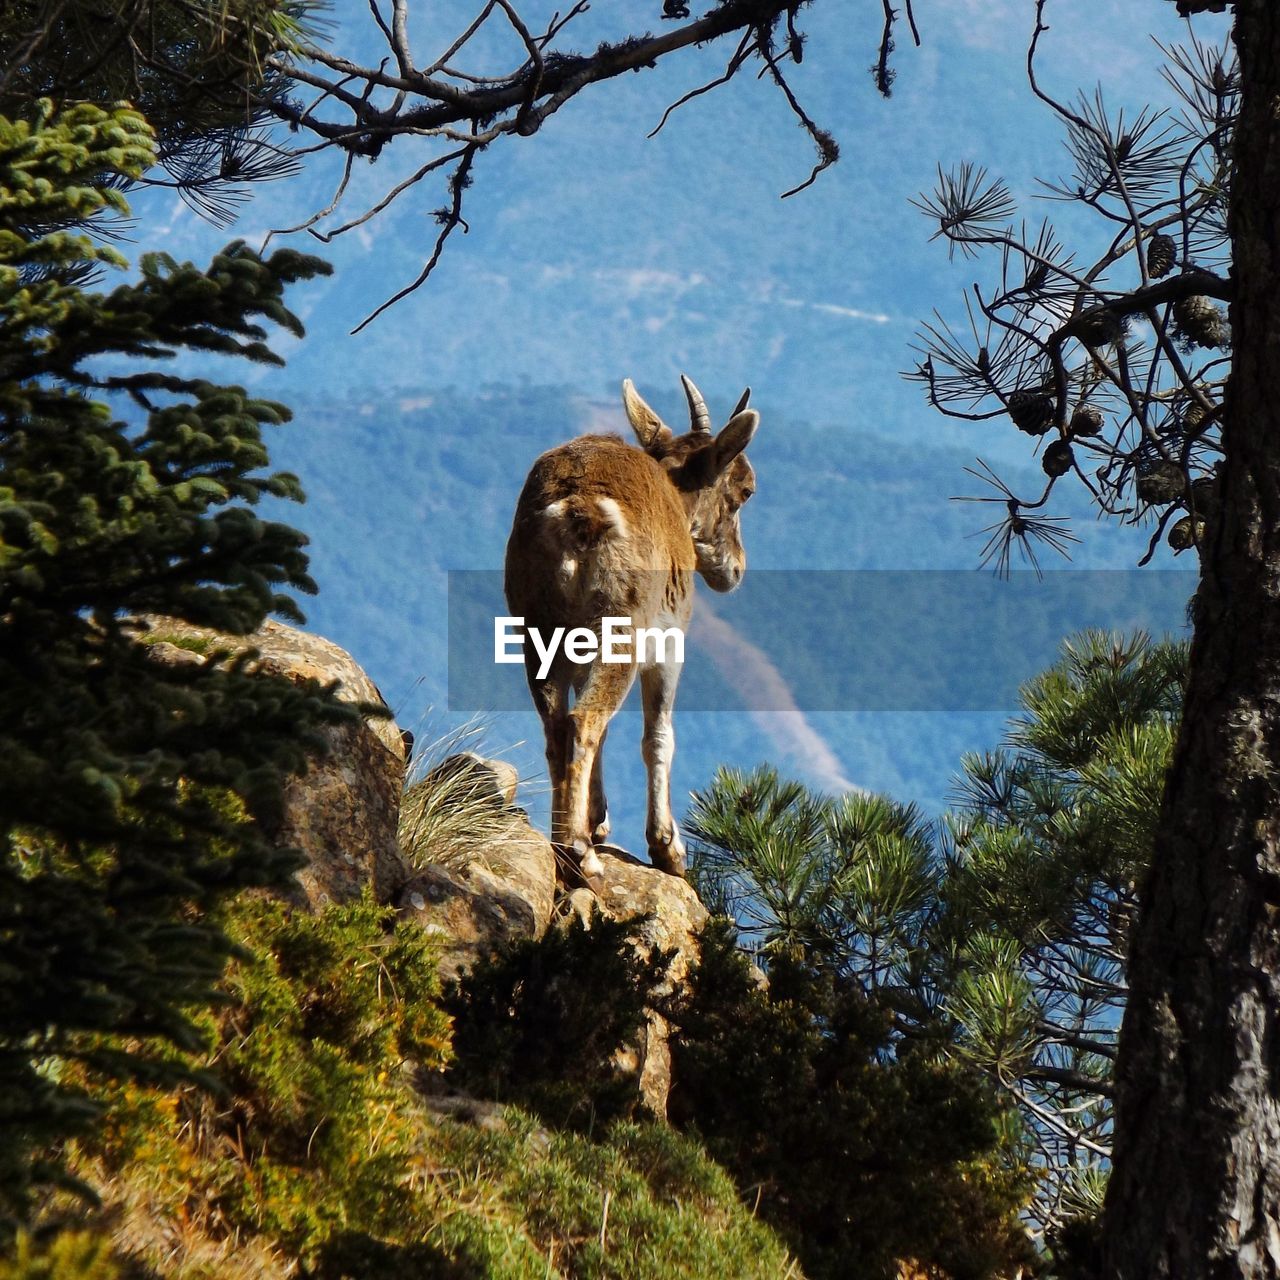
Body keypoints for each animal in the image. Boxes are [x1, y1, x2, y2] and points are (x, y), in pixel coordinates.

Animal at [501, 373, 757, 885]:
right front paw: (668, 849)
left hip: (540, 627)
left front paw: (599, 820)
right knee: (584, 721)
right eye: (744, 490)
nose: (736, 569)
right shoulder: (667, 642)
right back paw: (581, 854)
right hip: (623, 625)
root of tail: (579, 512)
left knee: (558, 725)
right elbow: (658, 736)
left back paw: (565, 842)